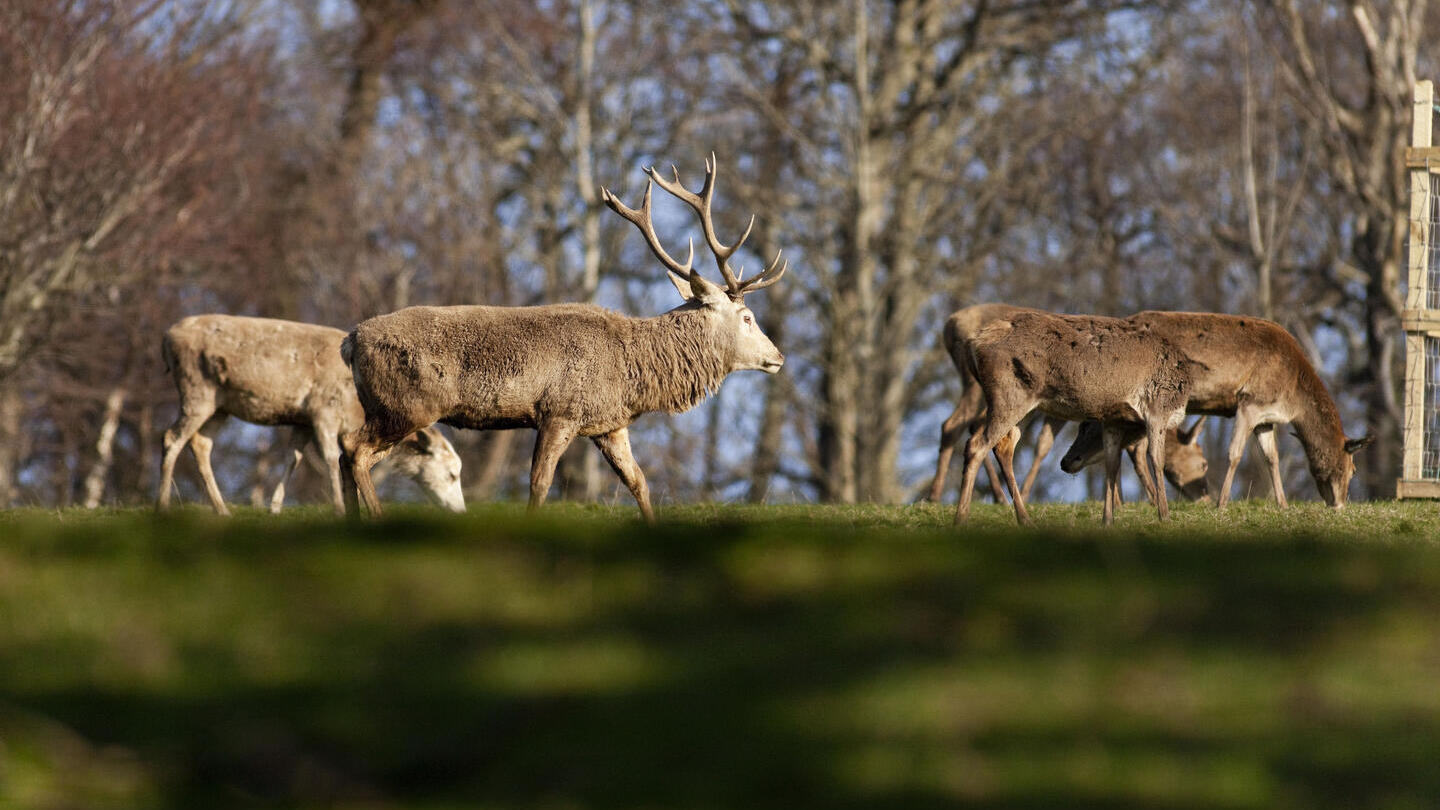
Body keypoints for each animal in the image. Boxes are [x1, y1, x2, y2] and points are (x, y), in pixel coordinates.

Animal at [157, 314, 466, 515]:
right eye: (451, 473)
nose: (461, 510)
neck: (357, 411)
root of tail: (166, 338)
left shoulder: (303, 421)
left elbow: (294, 457)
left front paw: (275, 507)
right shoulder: (323, 411)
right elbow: (330, 457)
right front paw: (339, 507)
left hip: (220, 405)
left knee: (200, 443)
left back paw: (222, 509)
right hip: (197, 390)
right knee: (171, 437)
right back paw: (162, 505)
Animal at [338, 155, 787, 524]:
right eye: (747, 317)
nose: (779, 357)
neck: (632, 374)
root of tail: (351, 340)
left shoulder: (609, 424)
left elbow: (638, 481)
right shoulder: (560, 410)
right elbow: (539, 483)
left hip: (390, 407)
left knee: (347, 453)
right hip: (408, 403)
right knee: (353, 448)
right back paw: (375, 518)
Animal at [1125, 311, 1372, 508]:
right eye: (1353, 470)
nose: (1338, 504)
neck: (1292, 398)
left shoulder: (1265, 418)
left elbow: (1272, 457)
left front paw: (1283, 505)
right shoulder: (1249, 402)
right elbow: (1235, 453)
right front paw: (1221, 504)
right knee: (1138, 449)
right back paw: (1153, 500)